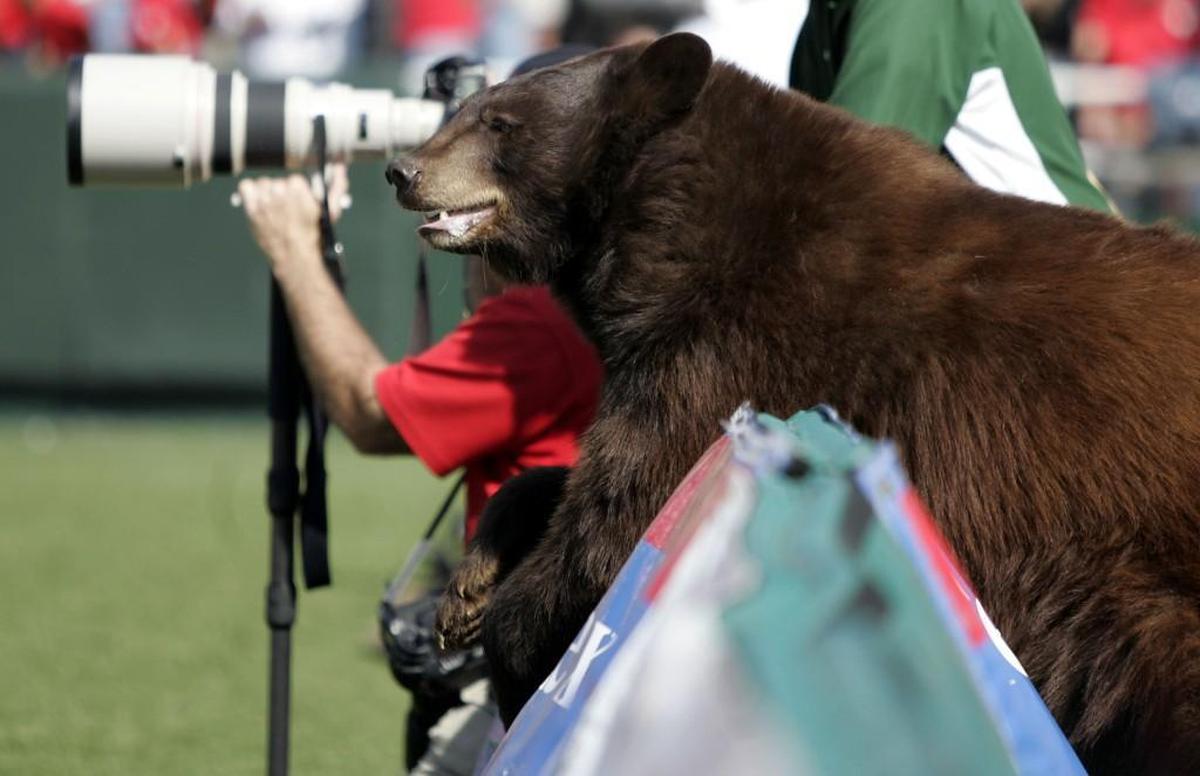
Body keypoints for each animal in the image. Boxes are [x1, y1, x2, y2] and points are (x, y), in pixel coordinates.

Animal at [387, 33, 1200, 774]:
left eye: (502, 121)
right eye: (474, 108)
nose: (403, 169)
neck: (672, 230)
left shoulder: (742, 352)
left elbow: (625, 521)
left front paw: (516, 650)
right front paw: (469, 584)